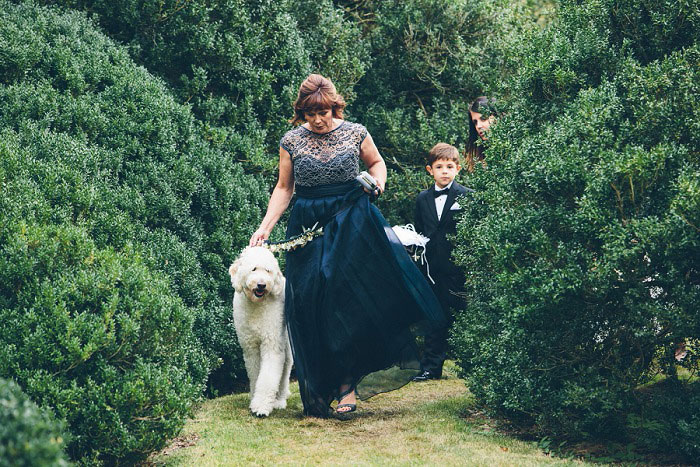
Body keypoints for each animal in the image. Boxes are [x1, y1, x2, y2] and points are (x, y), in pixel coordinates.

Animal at [228, 247, 292, 418]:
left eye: (268, 271)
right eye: (254, 268)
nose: (262, 285)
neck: (257, 305)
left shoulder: (272, 344)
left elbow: (268, 377)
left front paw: (261, 406)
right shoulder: (251, 348)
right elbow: (255, 374)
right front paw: (254, 399)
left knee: (285, 370)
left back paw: (279, 400)